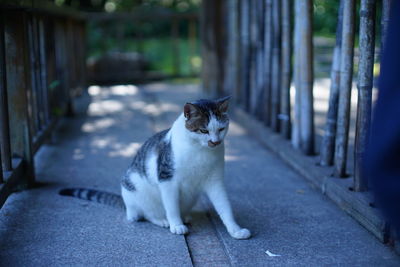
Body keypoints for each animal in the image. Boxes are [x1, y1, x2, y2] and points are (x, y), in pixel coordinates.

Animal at [60, 96, 250, 241]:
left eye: (221, 129)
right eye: (203, 130)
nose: (215, 142)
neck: (200, 151)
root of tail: (126, 205)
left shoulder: (215, 181)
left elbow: (225, 207)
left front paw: (235, 230)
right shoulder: (167, 178)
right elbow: (171, 206)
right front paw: (176, 225)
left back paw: (185, 216)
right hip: (137, 189)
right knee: (144, 214)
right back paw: (163, 220)